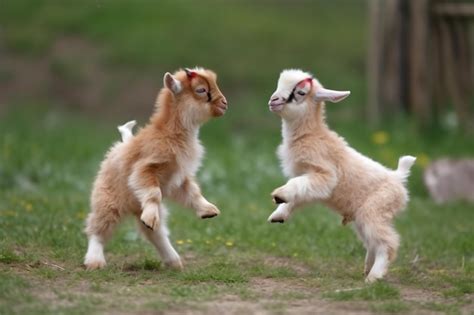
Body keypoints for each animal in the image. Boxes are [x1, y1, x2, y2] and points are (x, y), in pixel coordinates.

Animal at [84, 68, 228, 270]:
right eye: (201, 90)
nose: (224, 103)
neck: (170, 133)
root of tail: (122, 143)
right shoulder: (146, 168)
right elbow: (153, 193)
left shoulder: (179, 179)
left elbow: (194, 193)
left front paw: (209, 211)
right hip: (107, 199)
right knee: (98, 227)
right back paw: (95, 261)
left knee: (154, 232)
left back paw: (173, 261)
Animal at [266, 69, 414, 284]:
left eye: (300, 92)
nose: (273, 100)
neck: (311, 134)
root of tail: (398, 177)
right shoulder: (311, 183)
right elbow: (297, 195)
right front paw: (278, 214)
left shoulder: (325, 175)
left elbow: (295, 185)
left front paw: (279, 195)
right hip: (364, 217)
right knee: (373, 241)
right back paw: (367, 268)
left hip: (375, 210)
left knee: (388, 242)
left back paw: (374, 276)